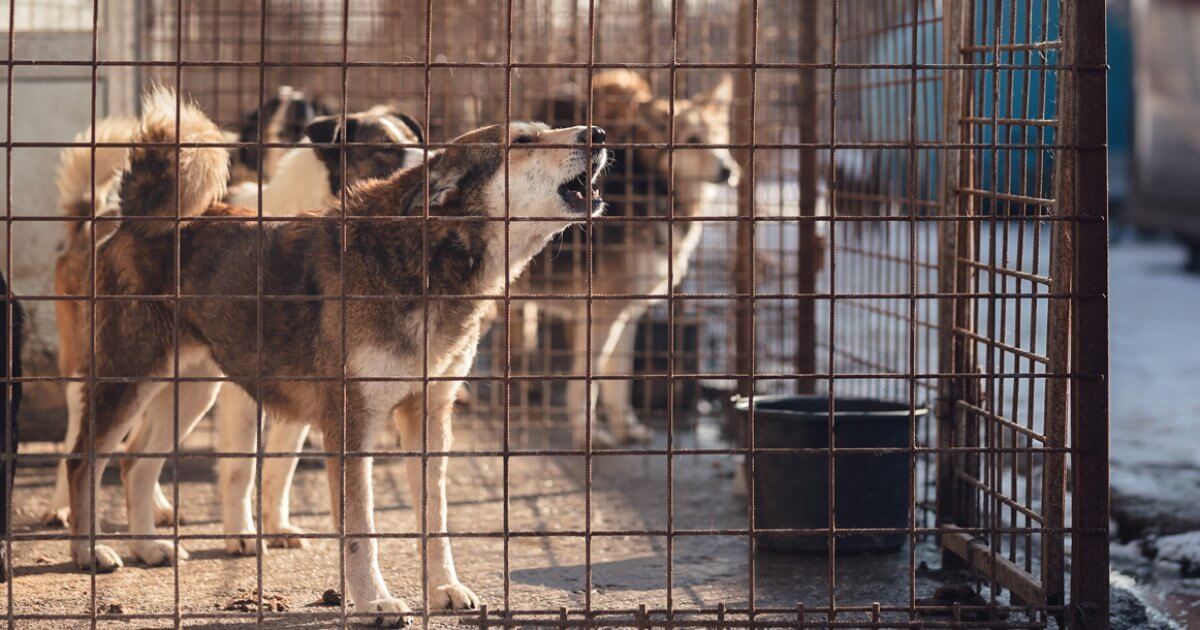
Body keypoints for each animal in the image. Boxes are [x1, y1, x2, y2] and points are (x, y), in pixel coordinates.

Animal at [48, 102, 432, 554]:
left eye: (418, 142)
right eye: (384, 151)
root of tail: (105, 218)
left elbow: (281, 468)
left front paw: (276, 525)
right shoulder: (245, 398)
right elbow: (242, 469)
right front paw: (243, 535)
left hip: (190, 386)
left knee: (135, 454)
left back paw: (149, 535)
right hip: (115, 367)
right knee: (79, 447)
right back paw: (74, 528)